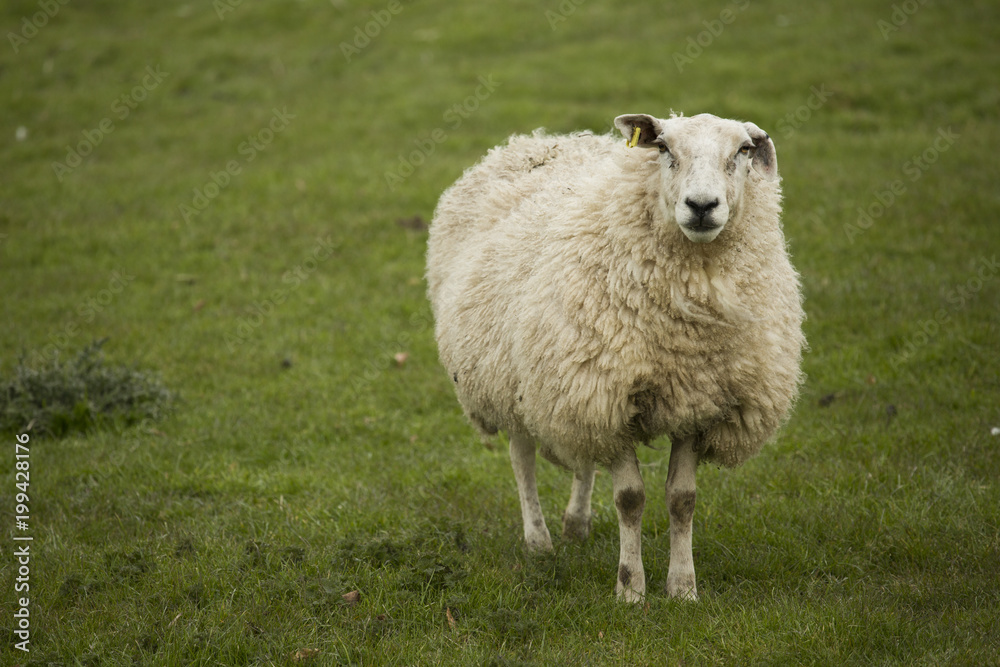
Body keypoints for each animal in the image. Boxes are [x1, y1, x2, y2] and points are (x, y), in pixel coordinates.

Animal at [425, 112, 805, 602]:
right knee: (521, 456)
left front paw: (683, 588)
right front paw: (630, 590)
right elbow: (630, 499)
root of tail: (539, 140)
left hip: (570, 381)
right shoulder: (610, 397)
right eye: (663, 148)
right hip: (512, 377)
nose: (702, 206)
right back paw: (538, 541)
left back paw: (576, 524)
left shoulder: (695, 400)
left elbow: (682, 499)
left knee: (584, 455)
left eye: (743, 150)